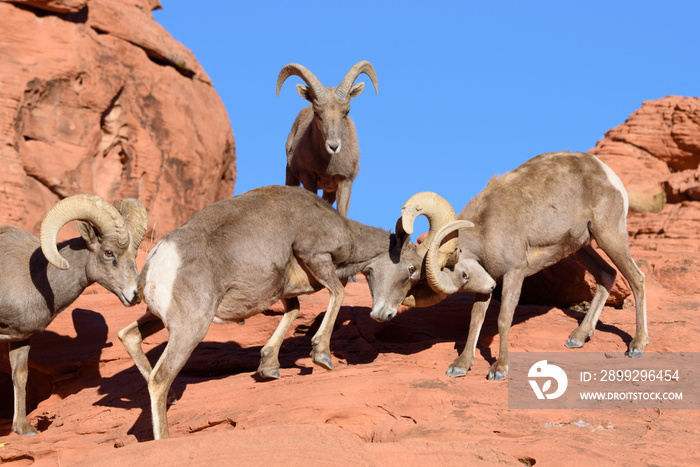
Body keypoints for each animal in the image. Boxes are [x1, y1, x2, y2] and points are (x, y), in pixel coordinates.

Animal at [0, 194, 146, 436]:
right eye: (108, 252)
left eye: (134, 255)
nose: (135, 295)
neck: (34, 280)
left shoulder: (21, 338)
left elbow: (20, 376)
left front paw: (24, 429)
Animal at [117, 185, 456, 440]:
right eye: (410, 269)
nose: (385, 316)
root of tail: (161, 258)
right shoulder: (315, 255)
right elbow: (338, 293)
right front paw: (322, 357)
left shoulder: (283, 291)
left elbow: (294, 312)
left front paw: (269, 368)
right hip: (191, 329)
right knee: (159, 378)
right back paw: (163, 439)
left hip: (157, 319)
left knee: (129, 336)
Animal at [276, 59, 380, 218]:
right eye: (316, 112)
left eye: (346, 112)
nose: (333, 146)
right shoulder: (308, 176)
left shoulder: (344, 182)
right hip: (291, 175)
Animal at [388, 154, 644, 384]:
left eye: (464, 275)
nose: (492, 286)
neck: (486, 227)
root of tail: (606, 172)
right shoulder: (486, 281)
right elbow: (476, 319)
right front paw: (460, 366)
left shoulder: (514, 274)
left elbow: (504, 318)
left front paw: (499, 369)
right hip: (580, 247)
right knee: (608, 275)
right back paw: (578, 337)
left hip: (608, 235)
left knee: (636, 278)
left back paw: (637, 345)